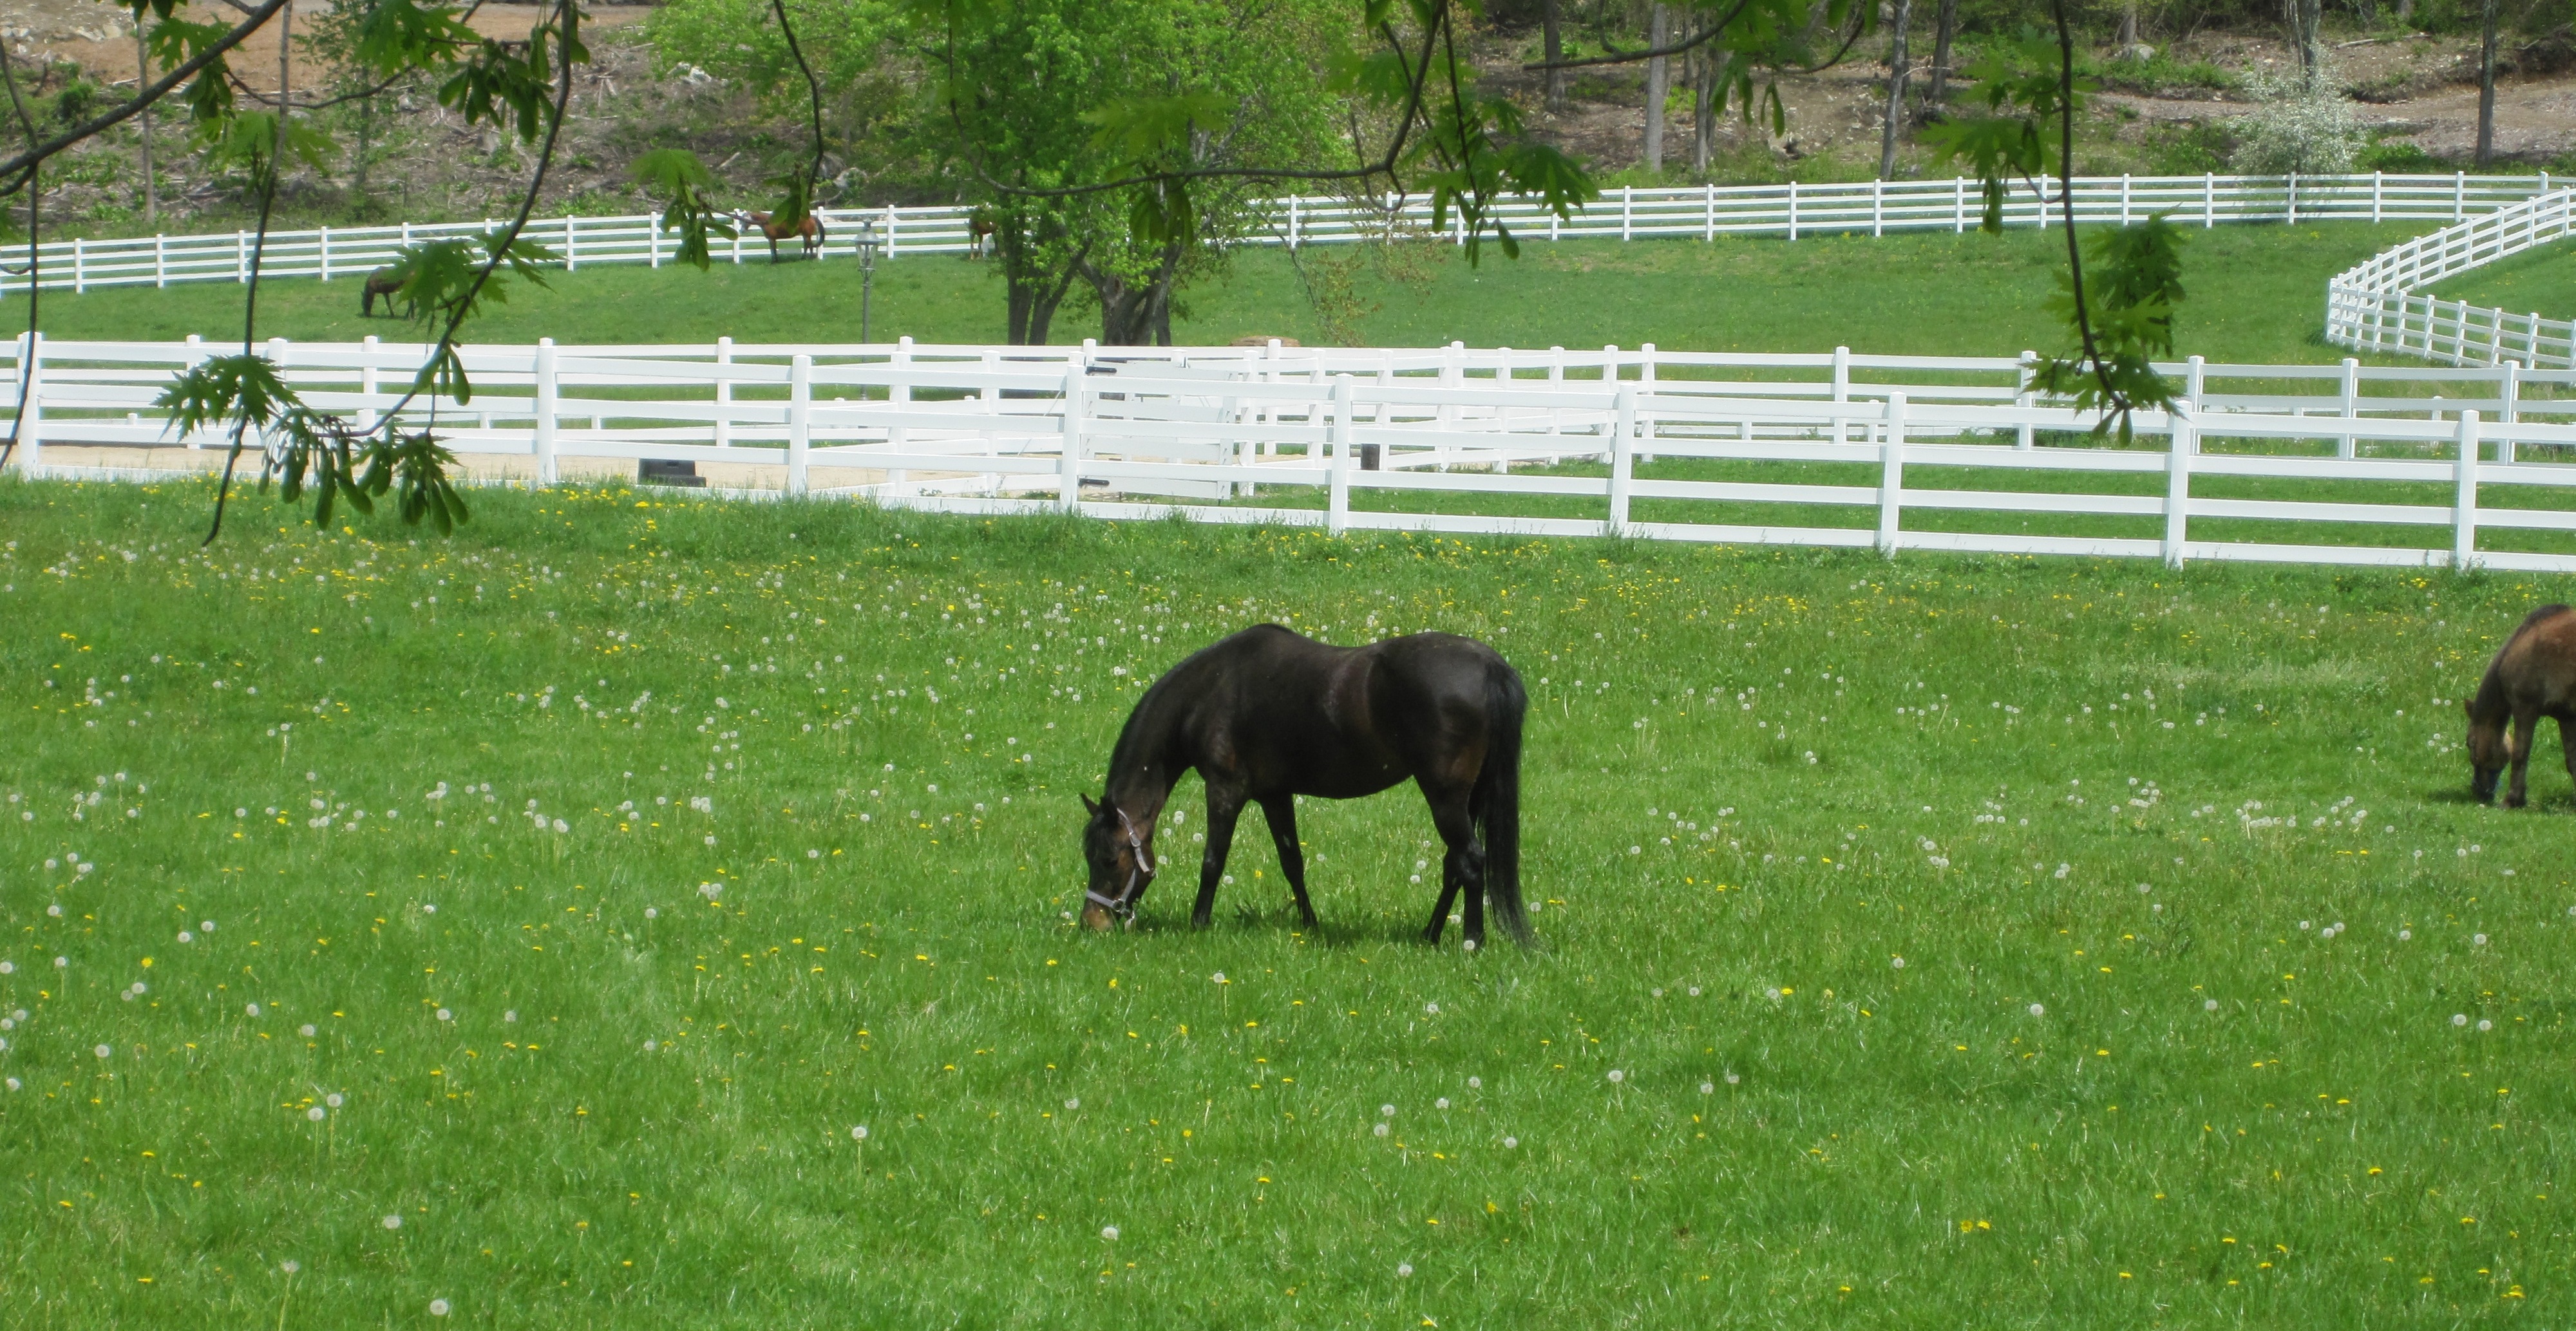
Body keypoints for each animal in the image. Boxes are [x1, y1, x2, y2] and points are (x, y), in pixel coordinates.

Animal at [736, 209, 825, 262]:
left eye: (746, 220)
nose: (742, 230)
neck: (767, 222)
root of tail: (812, 218)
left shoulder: (771, 239)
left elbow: (772, 250)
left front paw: (773, 262)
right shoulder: (774, 239)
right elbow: (775, 250)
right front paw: (776, 260)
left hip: (807, 236)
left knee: (809, 246)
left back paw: (809, 258)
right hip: (805, 235)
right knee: (807, 246)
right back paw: (803, 258)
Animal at [1077, 626, 1534, 949]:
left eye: (1110, 860)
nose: (1091, 924)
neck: (1211, 691)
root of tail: (1489, 666)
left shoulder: (1225, 791)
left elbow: (1213, 861)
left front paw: (1198, 924)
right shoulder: (1274, 796)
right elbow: (1292, 862)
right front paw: (1310, 926)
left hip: (1446, 797)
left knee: (1471, 861)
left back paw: (1472, 943)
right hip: (1468, 798)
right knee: (1454, 865)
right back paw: (1430, 935)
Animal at [2466, 604, 2576, 806]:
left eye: (2470, 742)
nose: (2478, 790)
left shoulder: (2524, 709)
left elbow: (2520, 754)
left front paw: (2513, 800)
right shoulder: (2566, 717)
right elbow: (2572, 760)